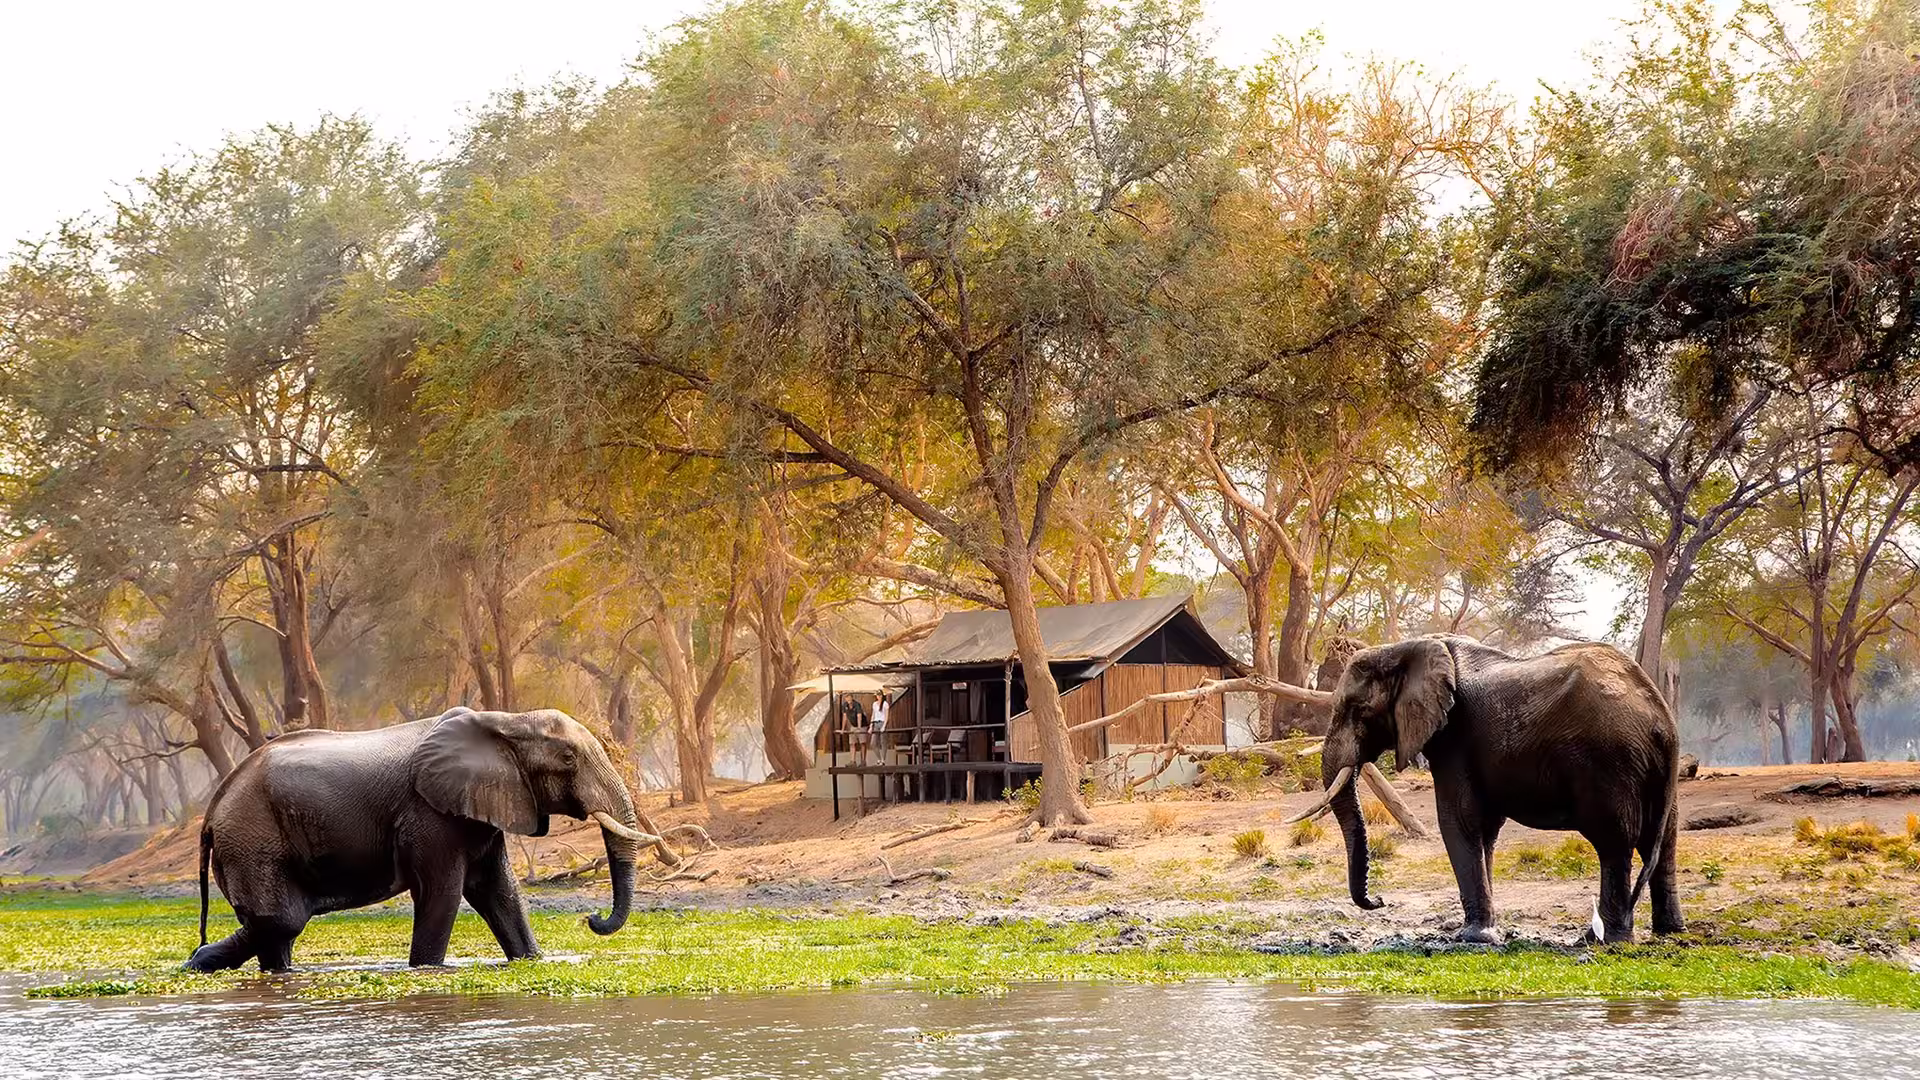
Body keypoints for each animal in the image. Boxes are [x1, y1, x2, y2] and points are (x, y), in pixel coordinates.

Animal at [186, 706, 658, 971]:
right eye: (568, 758)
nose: (593, 919)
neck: (505, 720)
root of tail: (212, 810)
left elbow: (498, 892)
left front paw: (530, 960)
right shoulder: (429, 813)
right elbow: (443, 893)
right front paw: (426, 971)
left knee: (276, 931)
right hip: (253, 841)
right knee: (282, 920)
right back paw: (198, 964)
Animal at [1287, 635, 1684, 944]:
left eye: (1358, 709)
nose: (1380, 901)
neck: (1406, 647)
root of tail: (1659, 715)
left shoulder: (1453, 735)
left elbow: (1459, 821)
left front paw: (1472, 936)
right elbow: (1485, 830)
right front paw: (1486, 930)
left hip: (1609, 762)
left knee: (1613, 843)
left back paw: (1602, 940)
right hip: (1651, 771)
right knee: (1663, 842)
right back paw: (1669, 932)